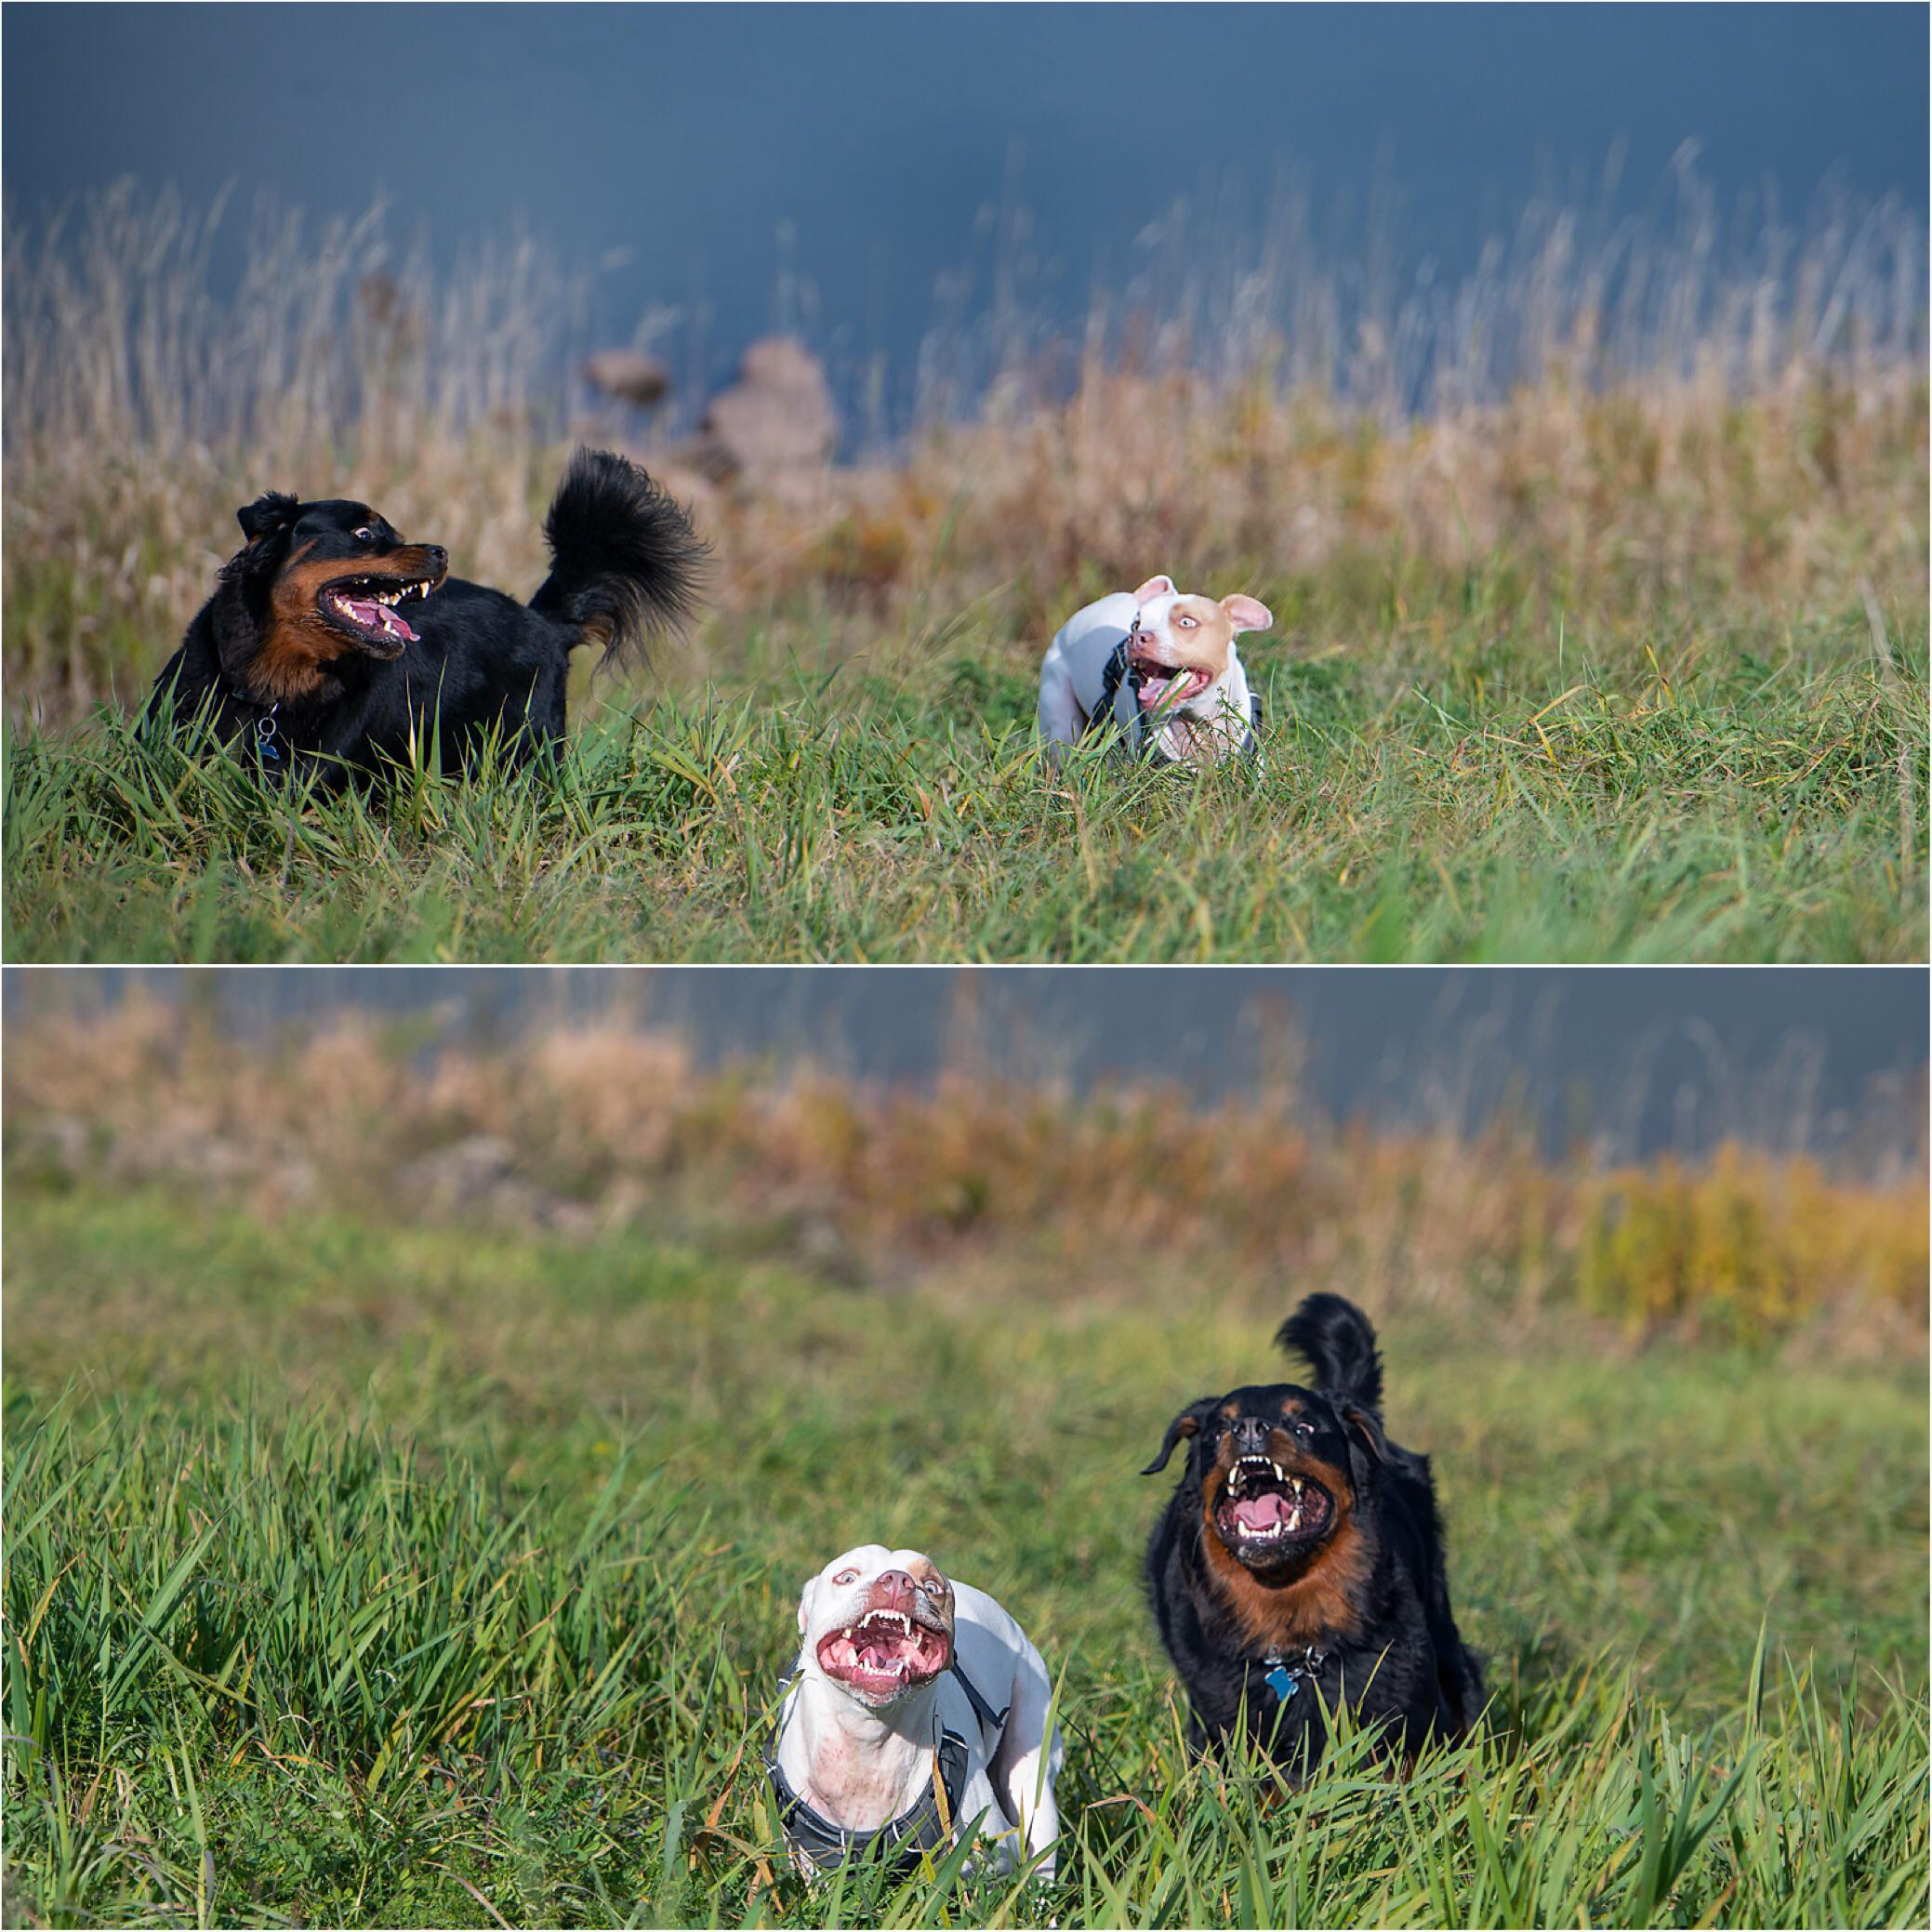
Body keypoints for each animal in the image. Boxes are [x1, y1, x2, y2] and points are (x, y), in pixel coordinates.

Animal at [144, 443, 703, 784]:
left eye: (396, 531)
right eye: (365, 534)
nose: (440, 551)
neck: (275, 693)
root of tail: (542, 620)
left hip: (525, 747)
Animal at [764, 1545, 1066, 1877]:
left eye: (932, 1587)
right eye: (846, 1577)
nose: (898, 1580)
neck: (867, 1737)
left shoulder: (994, 1861)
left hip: (1034, 1773)